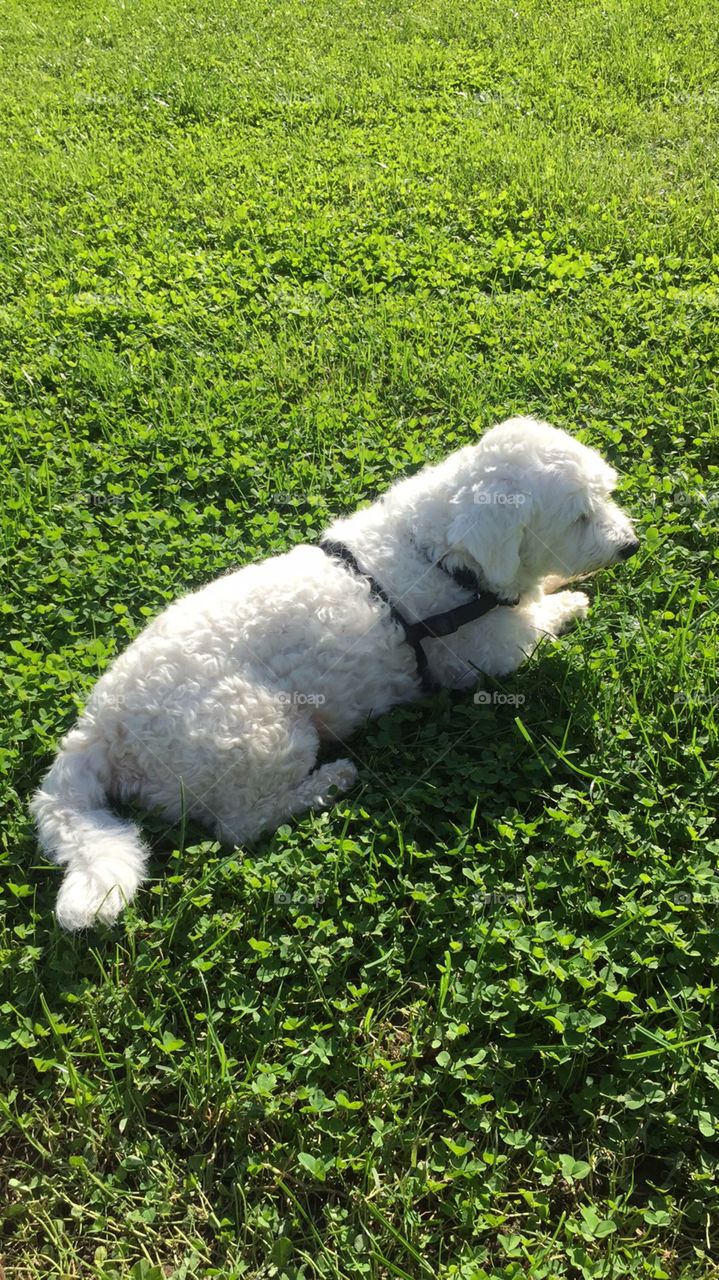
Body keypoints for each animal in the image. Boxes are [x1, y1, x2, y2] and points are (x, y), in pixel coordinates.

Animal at [33, 419, 634, 931]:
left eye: (606, 494)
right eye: (579, 516)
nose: (631, 545)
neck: (437, 552)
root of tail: (100, 728)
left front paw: (556, 587)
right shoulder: (487, 655)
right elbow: (539, 621)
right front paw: (572, 601)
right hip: (262, 735)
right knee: (240, 825)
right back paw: (328, 783)